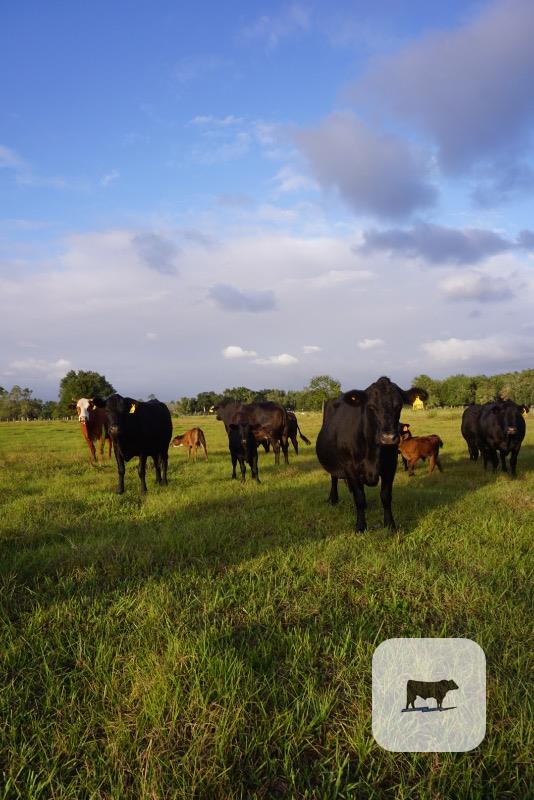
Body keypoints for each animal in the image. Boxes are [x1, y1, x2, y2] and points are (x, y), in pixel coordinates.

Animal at [316, 377, 427, 532]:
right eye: (371, 407)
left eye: (399, 406)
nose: (388, 438)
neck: (373, 452)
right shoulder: (351, 468)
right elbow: (359, 497)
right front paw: (360, 526)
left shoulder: (390, 466)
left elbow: (386, 496)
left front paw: (390, 525)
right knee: (334, 478)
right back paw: (333, 499)